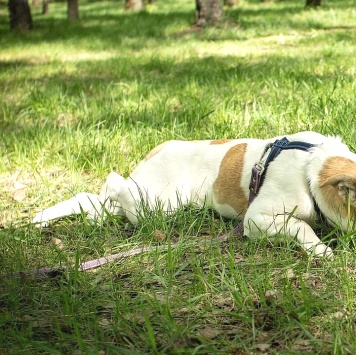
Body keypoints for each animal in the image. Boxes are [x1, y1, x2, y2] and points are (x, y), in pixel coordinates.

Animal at [32, 132, 356, 258]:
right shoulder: (256, 219)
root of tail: (158, 150)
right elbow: (300, 225)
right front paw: (321, 250)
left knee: (94, 203)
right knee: (112, 184)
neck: (312, 169)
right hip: (158, 204)